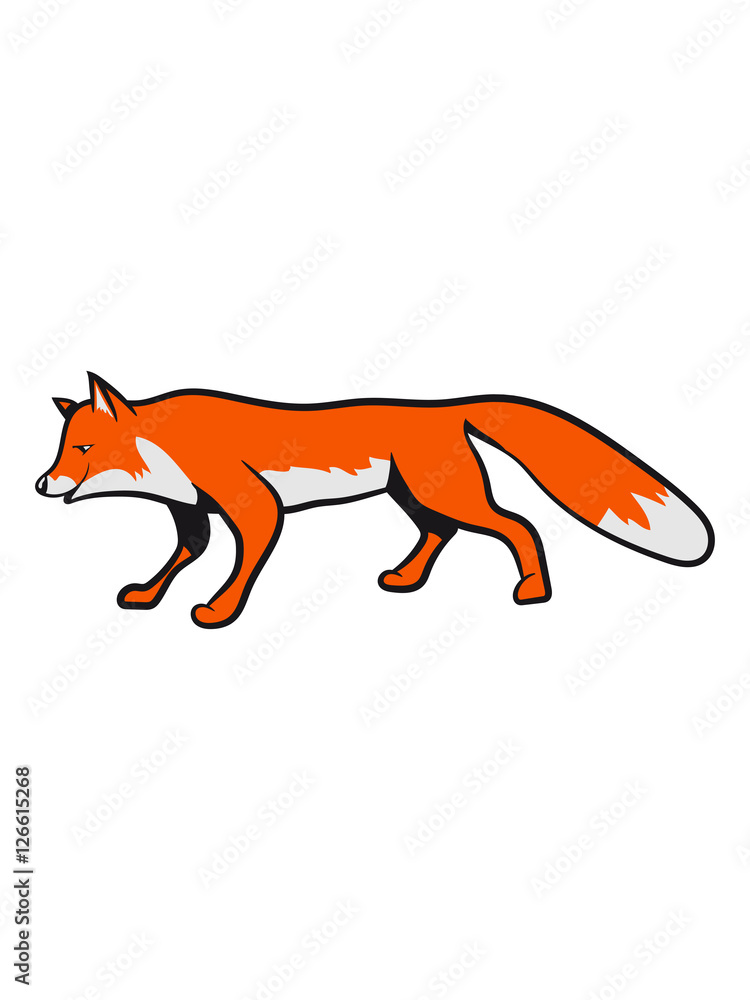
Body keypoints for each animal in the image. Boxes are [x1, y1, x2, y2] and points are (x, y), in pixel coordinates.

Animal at [36, 374, 714, 629]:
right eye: (63, 449)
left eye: (84, 449)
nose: (41, 484)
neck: (170, 446)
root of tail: (446, 406)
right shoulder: (192, 511)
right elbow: (182, 557)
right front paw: (147, 595)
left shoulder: (254, 506)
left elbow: (239, 563)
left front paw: (220, 610)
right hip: (415, 498)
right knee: (441, 534)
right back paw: (406, 578)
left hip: (449, 496)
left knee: (518, 526)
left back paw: (534, 590)